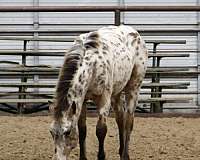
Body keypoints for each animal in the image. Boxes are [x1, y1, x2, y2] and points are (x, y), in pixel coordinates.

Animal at [49, 25, 148, 159]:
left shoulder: (104, 98)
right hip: (116, 93)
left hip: (134, 87)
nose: (57, 158)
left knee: (128, 121)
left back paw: (125, 155)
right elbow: (82, 130)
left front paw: (101, 156)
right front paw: (83, 158)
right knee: (120, 118)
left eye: (67, 132)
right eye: (51, 132)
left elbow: (101, 130)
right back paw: (120, 150)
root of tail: (135, 33)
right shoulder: (82, 99)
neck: (93, 64)